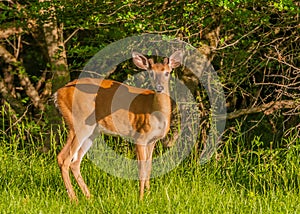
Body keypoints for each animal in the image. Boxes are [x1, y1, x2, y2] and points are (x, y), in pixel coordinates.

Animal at [54, 50, 183, 201]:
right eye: (151, 73)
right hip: (78, 123)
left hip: (91, 131)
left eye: (167, 72)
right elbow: (141, 169)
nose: (159, 87)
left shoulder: (152, 140)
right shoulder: (140, 136)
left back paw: (89, 197)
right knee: (64, 158)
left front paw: (149, 194)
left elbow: (149, 167)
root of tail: (58, 93)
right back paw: (75, 199)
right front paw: (141, 198)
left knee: (75, 161)